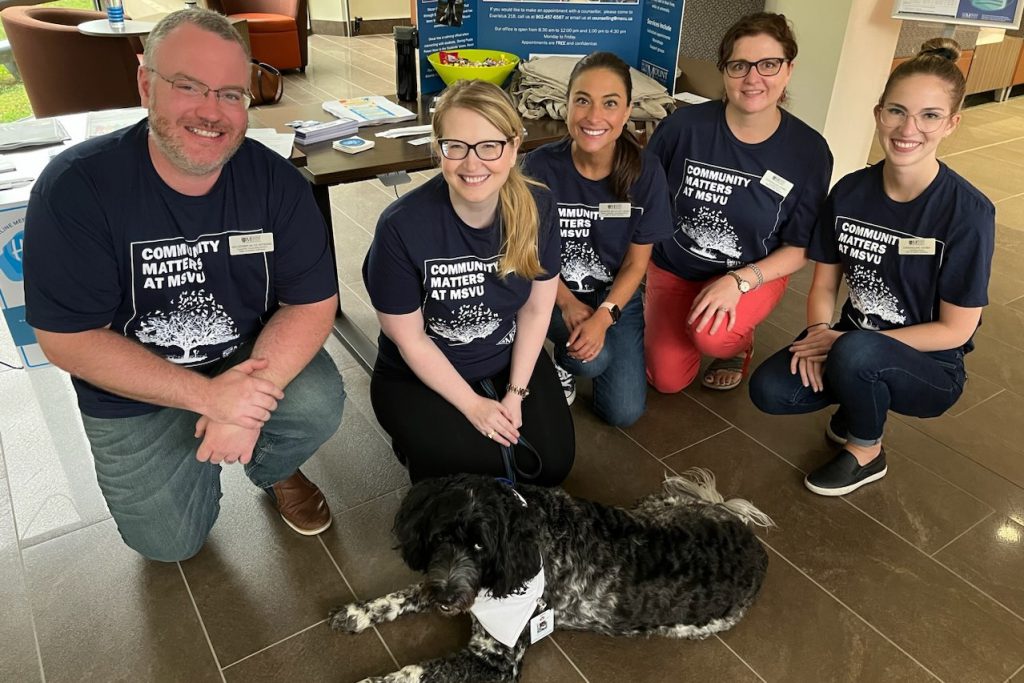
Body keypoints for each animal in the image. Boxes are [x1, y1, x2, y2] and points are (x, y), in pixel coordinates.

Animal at [331, 471, 770, 683]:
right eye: (439, 537)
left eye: (480, 547)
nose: (448, 599)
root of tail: (757, 548)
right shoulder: (446, 585)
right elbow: (403, 595)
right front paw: (358, 613)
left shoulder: (496, 661)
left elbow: (417, 671)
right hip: (657, 505)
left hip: (692, 627)